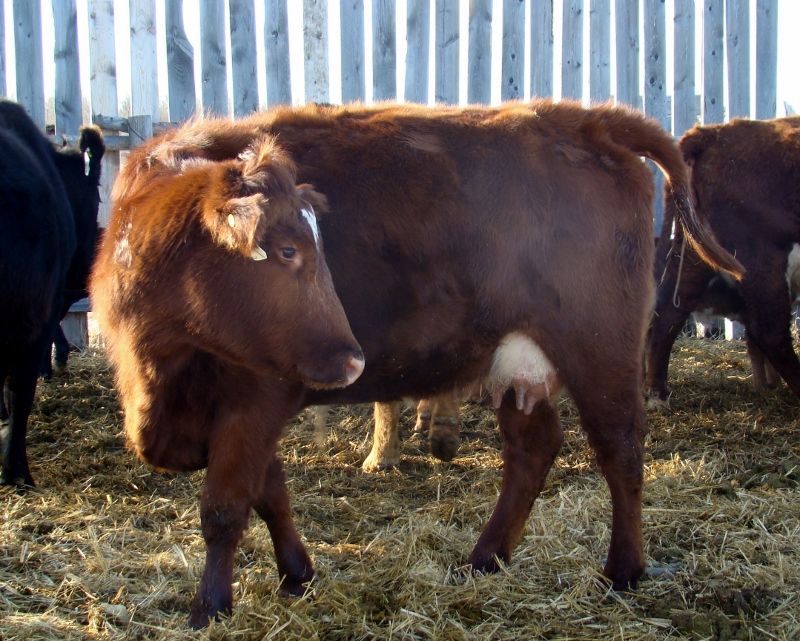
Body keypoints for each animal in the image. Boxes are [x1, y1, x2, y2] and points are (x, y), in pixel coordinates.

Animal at [94, 101, 742, 627]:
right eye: (287, 250)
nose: (352, 361)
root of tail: (587, 119)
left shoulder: (254, 401)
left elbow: (226, 507)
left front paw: (210, 607)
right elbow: (270, 493)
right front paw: (296, 574)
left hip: (599, 347)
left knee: (620, 449)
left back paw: (622, 571)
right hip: (517, 362)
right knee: (532, 449)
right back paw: (486, 559)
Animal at [647, 116, 800, 406]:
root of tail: (712, 134)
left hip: (695, 256)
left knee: (667, 313)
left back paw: (658, 395)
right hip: (760, 258)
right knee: (771, 330)